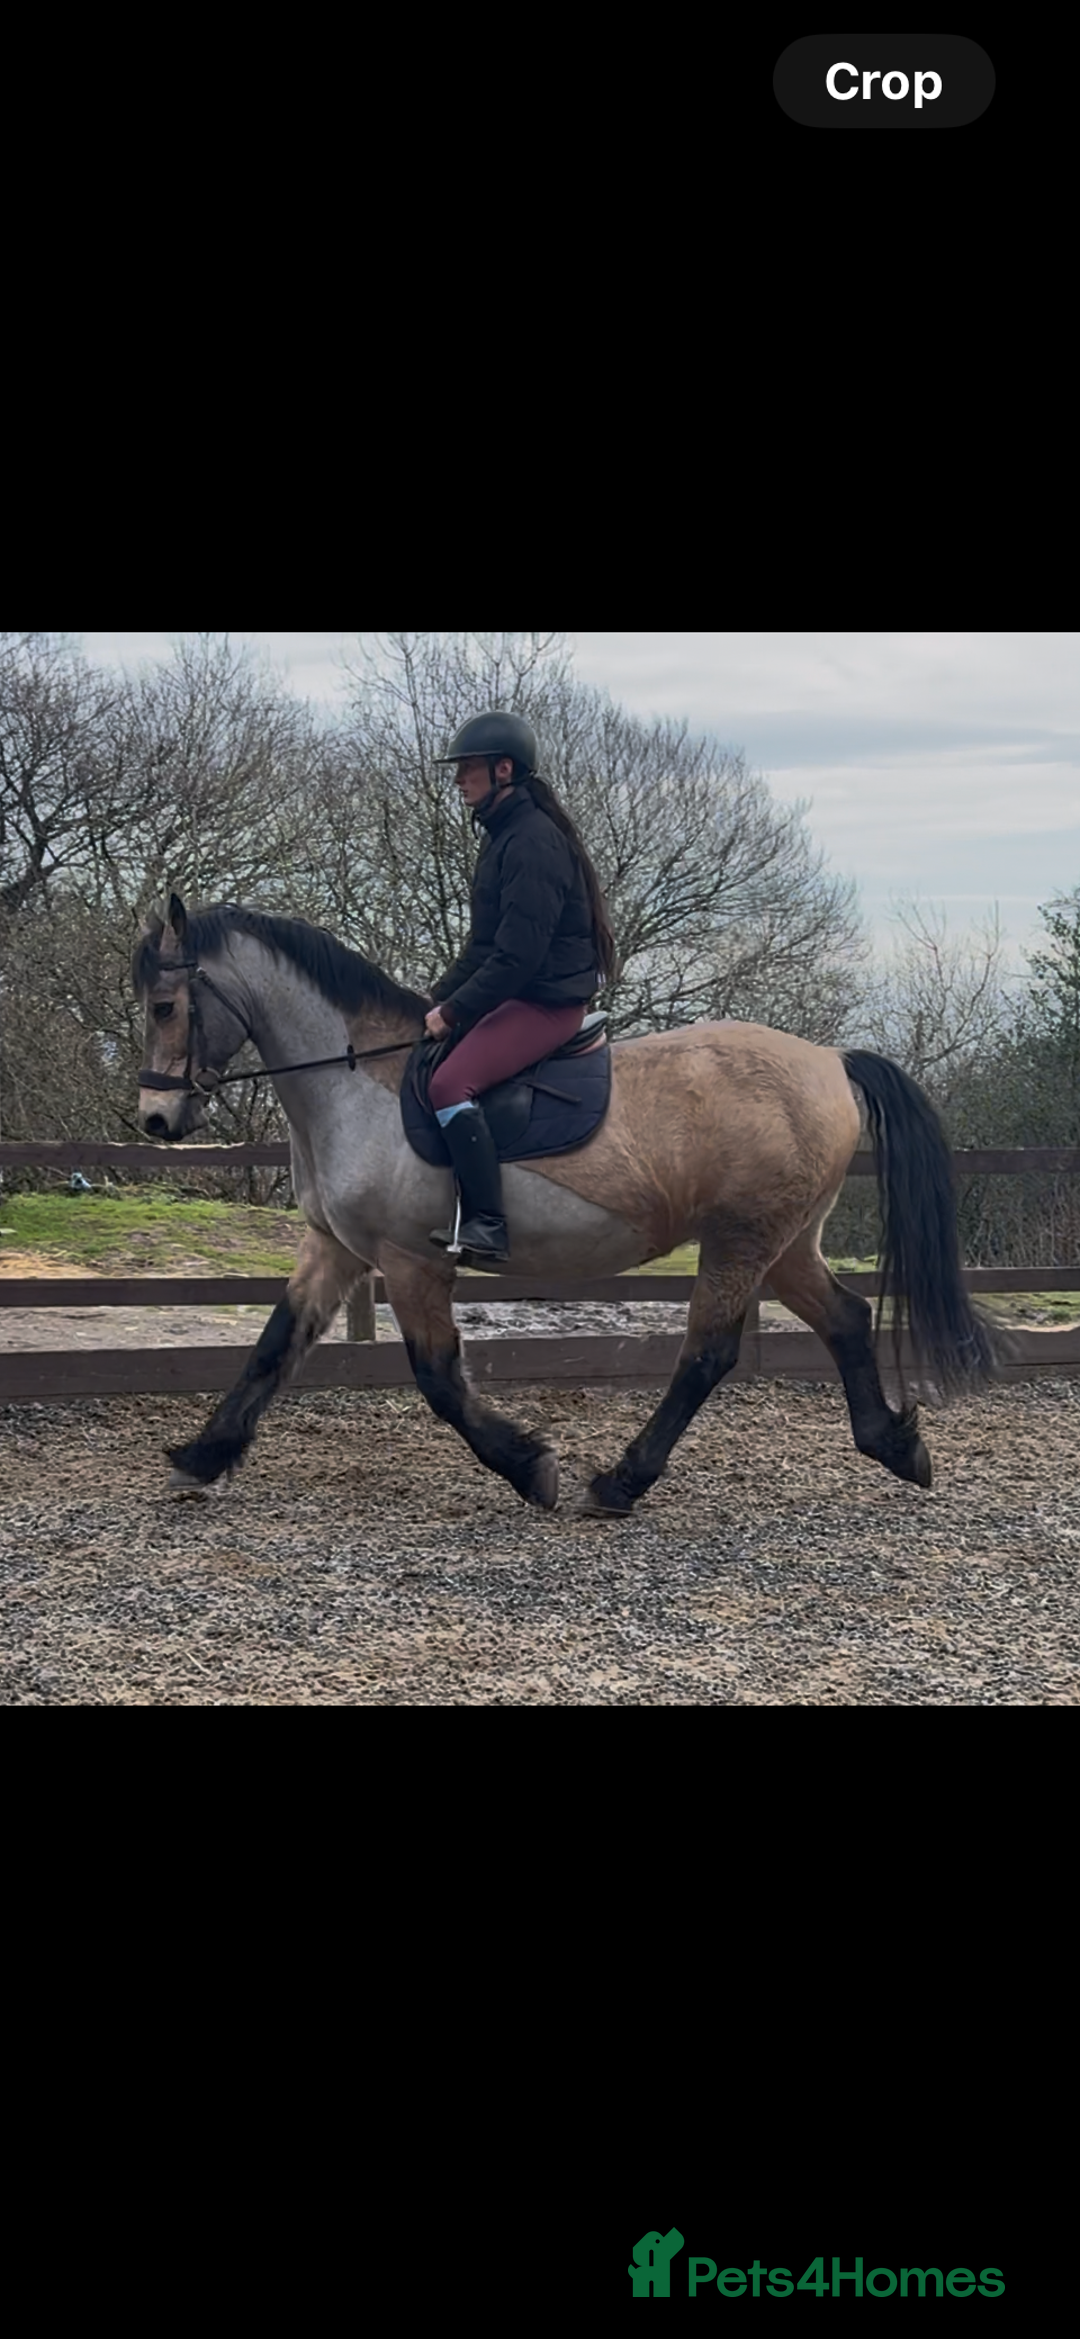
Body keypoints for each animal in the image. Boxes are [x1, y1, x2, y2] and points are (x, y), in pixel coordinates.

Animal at [132, 894, 999, 1516]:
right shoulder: (334, 1245)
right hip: (784, 1244)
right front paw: (201, 1458)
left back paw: (620, 1482)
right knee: (845, 1319)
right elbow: (273, 1346)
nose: (155, 1120)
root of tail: (829, 1059)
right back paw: (895, 1446)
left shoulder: (410, 1260)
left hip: (741, 1240)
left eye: (164, 1006)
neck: (353, 1080)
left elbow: (439, 1378)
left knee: (708, 1353)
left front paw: (531, 1467)